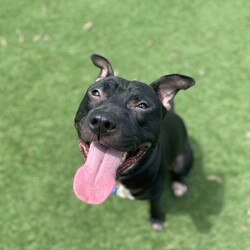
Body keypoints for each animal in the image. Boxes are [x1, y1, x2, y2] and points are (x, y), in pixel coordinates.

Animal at [73, 54, 194, 230]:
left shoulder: (156, 193)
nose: (102, 121)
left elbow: (155, 205)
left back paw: (179, 185)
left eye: (142, 105)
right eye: (95, 92)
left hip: (183, 159)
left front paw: (156, 218)